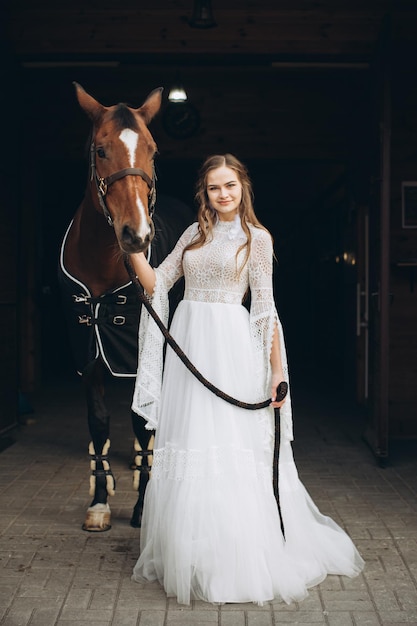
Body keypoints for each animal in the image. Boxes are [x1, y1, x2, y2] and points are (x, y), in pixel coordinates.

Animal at [58, 83, 193, 528]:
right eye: (100, 150)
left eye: (152, 150)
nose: (137, 234)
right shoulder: (87, 353)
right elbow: (100, 423)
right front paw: (100, 501)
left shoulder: (142, 349)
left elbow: (141, 419)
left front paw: (142, 506)